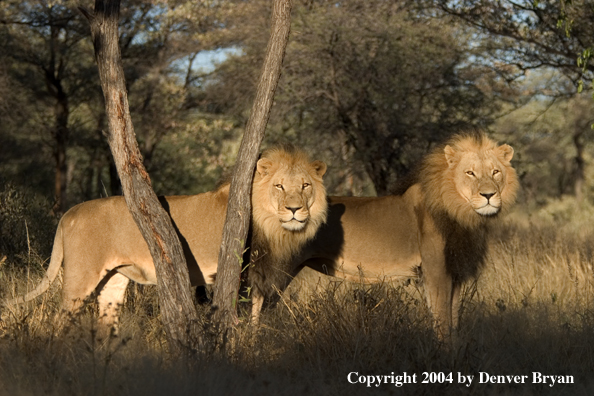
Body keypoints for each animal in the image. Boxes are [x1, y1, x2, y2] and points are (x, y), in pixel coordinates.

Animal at [276, 131, 516, 336]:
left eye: (495, 172)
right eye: (470, 173)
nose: (488, 195)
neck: (462, 213)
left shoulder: (454, 271)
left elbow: (453, 322)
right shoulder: (436, 270)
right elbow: (442, 323)